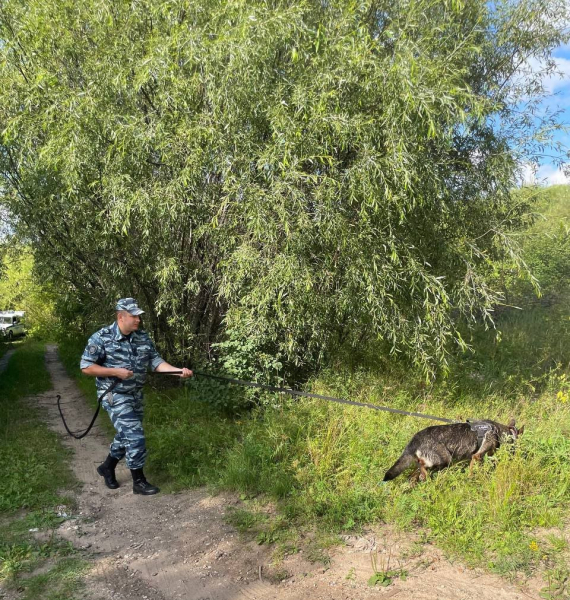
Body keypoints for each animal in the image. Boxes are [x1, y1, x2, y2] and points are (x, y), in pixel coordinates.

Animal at [384, 422, 520, 482]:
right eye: (515, 442)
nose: (514, 455)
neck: (496, 430)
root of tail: (416, 438)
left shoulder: (477, 456)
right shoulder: (477, 456)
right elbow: (474, 468)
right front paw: (471, 478)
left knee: (416, 470)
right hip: (444, 459)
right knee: (422, 467)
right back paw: (424, 476)